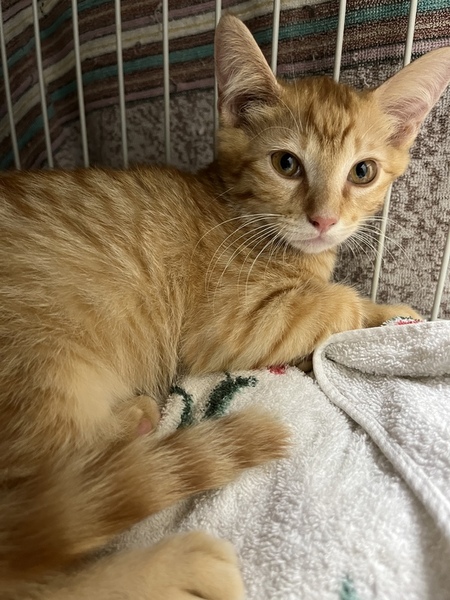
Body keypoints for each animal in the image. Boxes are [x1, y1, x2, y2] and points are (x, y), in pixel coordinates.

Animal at [0, 12, 449, 600]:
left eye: (363, 172)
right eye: (286, 164)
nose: (324, 219)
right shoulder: (234, 325)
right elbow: (333, 305)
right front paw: (387, 314)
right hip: (47, 376)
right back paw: (180, 561)